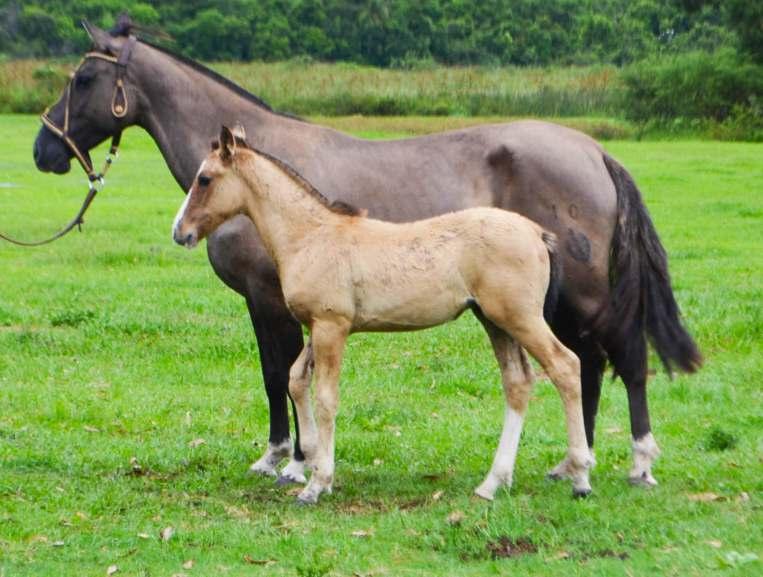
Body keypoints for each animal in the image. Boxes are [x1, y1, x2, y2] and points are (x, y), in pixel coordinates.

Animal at [176, 127, 592, 504]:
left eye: (204, 179)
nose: (180, 233)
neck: (311, 236)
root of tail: (537, 233)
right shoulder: (317, 326)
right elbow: (296, 380)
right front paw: (303, 460)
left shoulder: (332, 326)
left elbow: (325, 397)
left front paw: (317, 483)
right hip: (494, 321)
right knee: (518, 383)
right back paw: (492, 483)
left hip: (520, 318)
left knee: (565, 365)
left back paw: (580, 476)